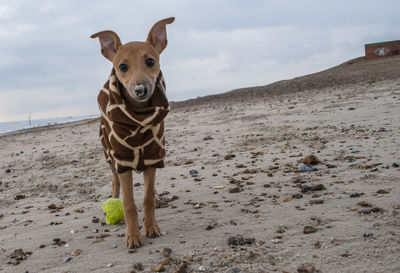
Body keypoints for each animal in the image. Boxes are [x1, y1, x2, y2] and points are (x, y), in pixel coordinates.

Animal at [92, 17, 175, 246]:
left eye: (150, 61)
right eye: (122, 66)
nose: (140, 90)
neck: (138, 118)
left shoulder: (154, 156)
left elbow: (146, 198)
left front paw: (151, 227)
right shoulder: (123, 161)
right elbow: (129, 203)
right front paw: (133, 236)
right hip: (109, 154)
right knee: (115, 182)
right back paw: (114, 198)